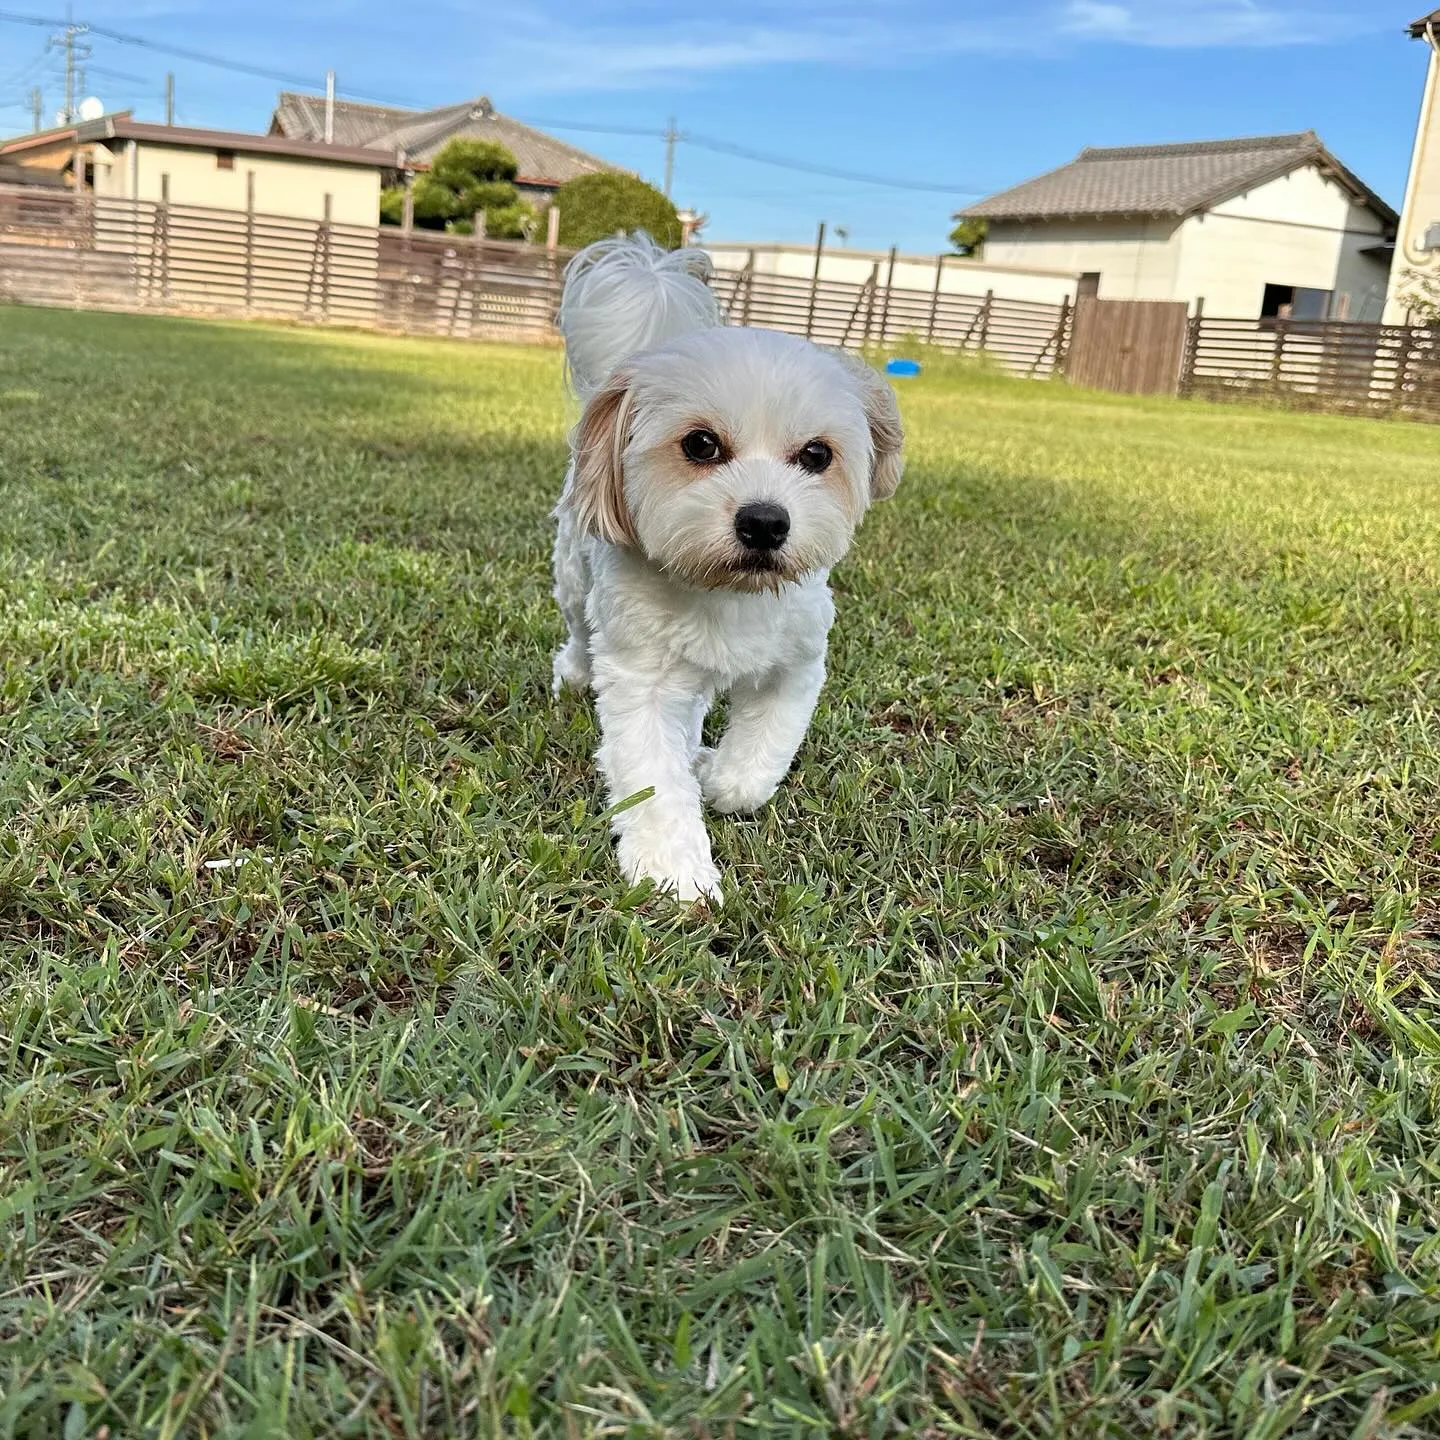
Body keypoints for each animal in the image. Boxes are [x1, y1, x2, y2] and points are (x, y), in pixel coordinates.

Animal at [547, 239, 898, 898]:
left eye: (817, 454)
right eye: (701, 445)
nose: (764, 521)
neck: (726, 593)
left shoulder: (796, 663)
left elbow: (757, 763)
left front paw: (716, 776)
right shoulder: (642, 683)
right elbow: (654, 782)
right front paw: (674, 872)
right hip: (576, 583)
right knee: (580, 635)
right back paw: (575, 674)